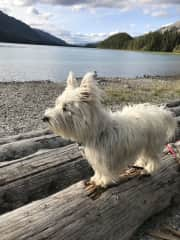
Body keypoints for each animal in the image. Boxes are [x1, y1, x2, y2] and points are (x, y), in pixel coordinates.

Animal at [43, 72, 176, 188]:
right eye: (57, 104)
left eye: (65, 108)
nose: (45, 118)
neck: (96, 131)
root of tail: (160, 112)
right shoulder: (97, 159)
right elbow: (98, 171)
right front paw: (96, 179)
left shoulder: (105, 160)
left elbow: (105, 171)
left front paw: (104, 182)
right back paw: (140, 164)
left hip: (151, 144)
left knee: (154, 159)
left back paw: (148, 170)